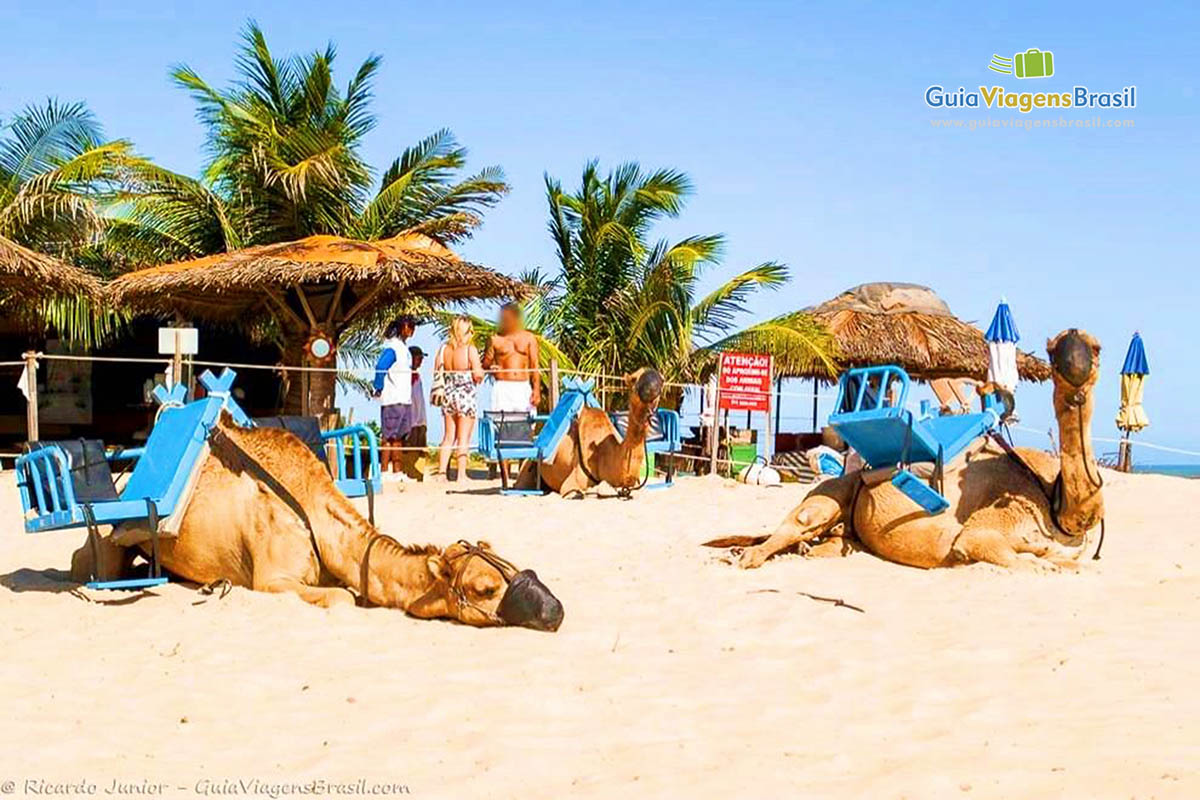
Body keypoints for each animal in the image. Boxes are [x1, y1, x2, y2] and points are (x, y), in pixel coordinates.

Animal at [70, 419, 561, 633]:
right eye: (484, 588)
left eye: (515, 566)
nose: (555, 610)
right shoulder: (271, 579)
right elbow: (343, 598)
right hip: (112, 539)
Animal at [720, 328, 1104, 573]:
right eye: (1052, 351)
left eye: (1097, 347)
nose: (1073, 354)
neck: (1055, 505)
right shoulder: (978, 534)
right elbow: (1025, 562)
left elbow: (1067, 565)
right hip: (827, 496)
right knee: (794, 525)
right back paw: (741, 555)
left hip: (847, 536)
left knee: (824, 546)